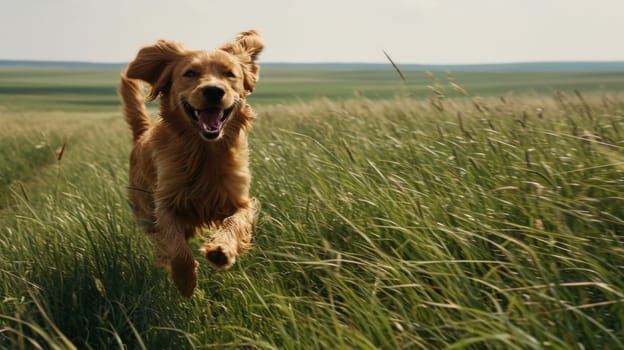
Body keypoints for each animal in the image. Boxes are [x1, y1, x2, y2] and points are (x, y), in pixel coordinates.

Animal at [119, 30, 264, 298]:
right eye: (190, 73)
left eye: (230, 74)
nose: (214, 91)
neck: (203, 151)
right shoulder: (165, 204)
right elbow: (177, 249)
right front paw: (185, 281)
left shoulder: (239, 200)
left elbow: (235, 222)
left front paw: (221, 250)